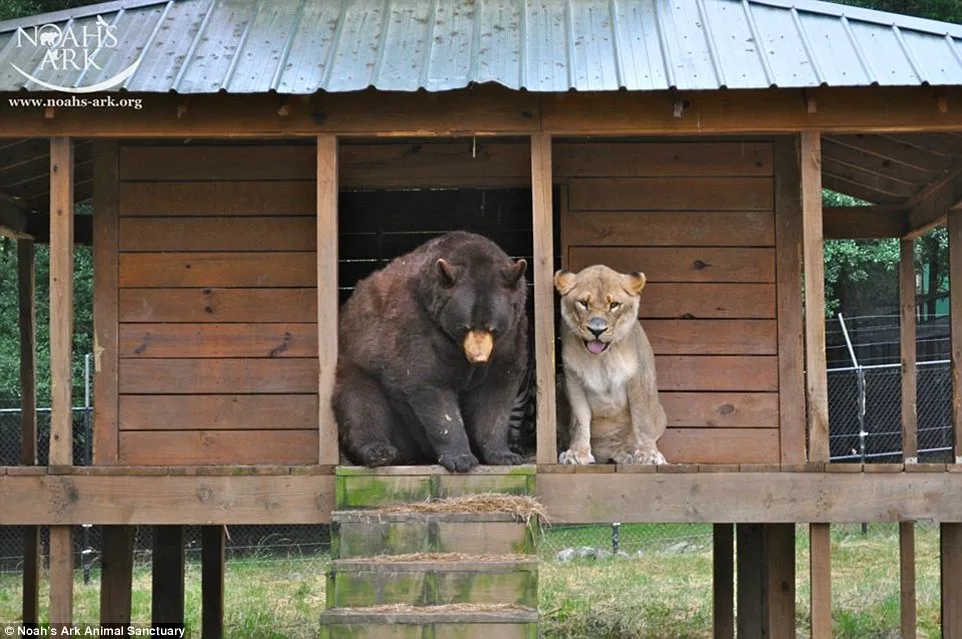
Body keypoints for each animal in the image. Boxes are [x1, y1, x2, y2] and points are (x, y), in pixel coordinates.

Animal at [333, 230, 529, 473]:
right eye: (464, 327)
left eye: (493, 328)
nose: (478, 358)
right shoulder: (416, 324)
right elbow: (429, 383)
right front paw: (460, 457)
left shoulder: (511, 335)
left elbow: (497, 390)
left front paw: (503, 454)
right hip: (358, 363)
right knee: (361, 403)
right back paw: (378, 451)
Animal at [554, 264, 668, 465]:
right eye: (584, 303)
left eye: (614, 305)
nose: (597, 330)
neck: (602, 358)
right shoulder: (572, 378)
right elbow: (580, 420)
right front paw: (577, 453)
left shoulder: (638, 378)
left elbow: (642, 419)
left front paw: (648, 455)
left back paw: (627, 456)